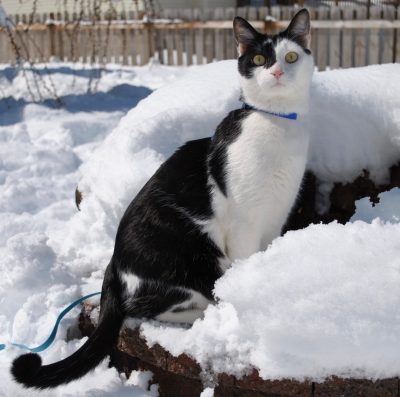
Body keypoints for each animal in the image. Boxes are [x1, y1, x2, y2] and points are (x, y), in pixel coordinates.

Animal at [11, 8, 312, 386]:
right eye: (259, 59)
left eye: (291, 57)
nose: (277, 71)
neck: (277, 124)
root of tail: (113, 266)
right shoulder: (243, 224)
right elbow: (245, 264)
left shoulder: (274, 218)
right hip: (193, 256)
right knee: (145, 308)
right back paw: (205, 312)